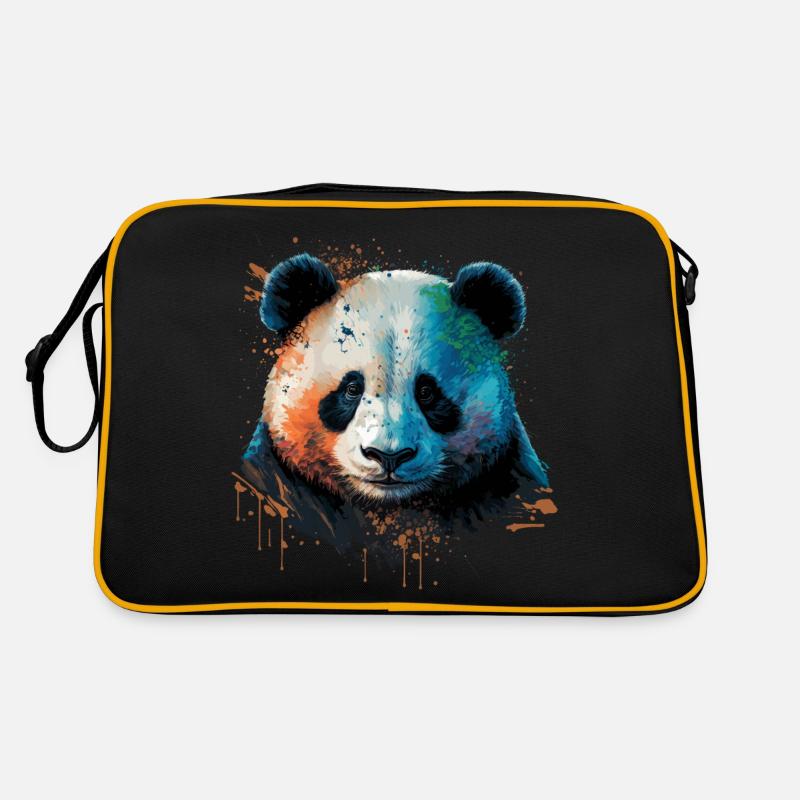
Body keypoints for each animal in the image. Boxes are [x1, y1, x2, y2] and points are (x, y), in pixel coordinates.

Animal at [241, 253, 551, 553]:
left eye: (426, 392)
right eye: (351, 389)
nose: (388, 456)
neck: (390, 507)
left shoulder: (501, 478)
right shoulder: (283, 478)